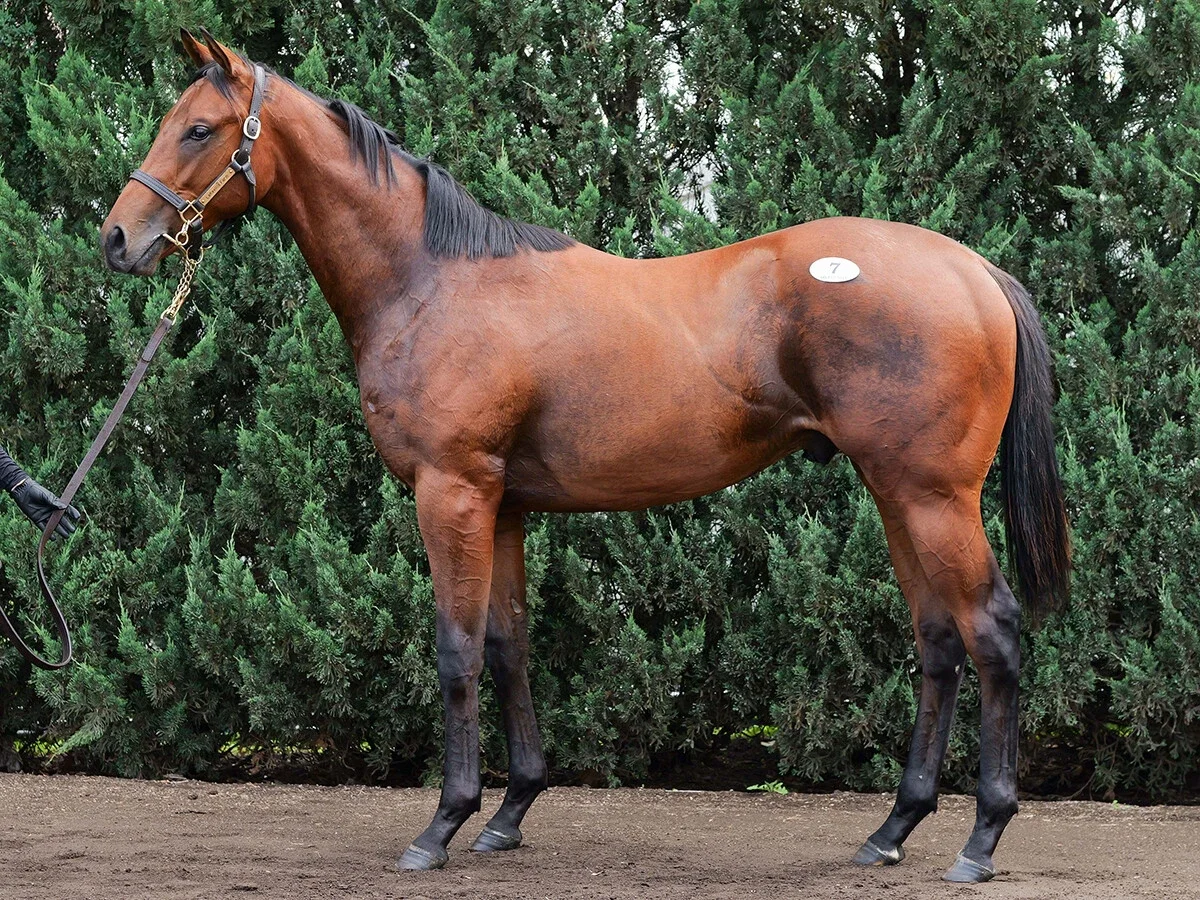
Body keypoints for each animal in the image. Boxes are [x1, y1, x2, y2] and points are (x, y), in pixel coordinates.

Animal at [100, 30, 1070, 883]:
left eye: (199, 129)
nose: (118, 238)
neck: (432, 283)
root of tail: (976, 272)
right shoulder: (503, 506)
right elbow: (508, 645)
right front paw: (508, 814)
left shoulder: (450, 492)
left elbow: (456, 650)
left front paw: (440, 826)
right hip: (895, 492)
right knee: (937, 639)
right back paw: (891, 830)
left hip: (932, 494)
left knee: (991, 629)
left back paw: (980, 840)